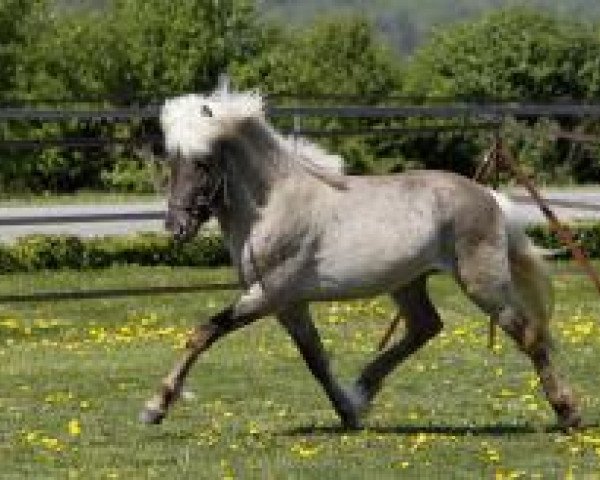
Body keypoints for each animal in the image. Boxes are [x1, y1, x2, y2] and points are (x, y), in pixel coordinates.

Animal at [141, 88, 580, 430]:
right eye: (171, 160)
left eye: (202, 162)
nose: (176, 227)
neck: (273, 206)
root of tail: (488, 196)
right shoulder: (288, 305)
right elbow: (315, 358)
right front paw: (348, 413)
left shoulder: (268, 295)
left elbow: (203, 333)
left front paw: (155, 407)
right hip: (408, 282)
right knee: (425, 327)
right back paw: (363, 390)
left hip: (482, 284)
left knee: (527, 334)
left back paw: (568, 413)